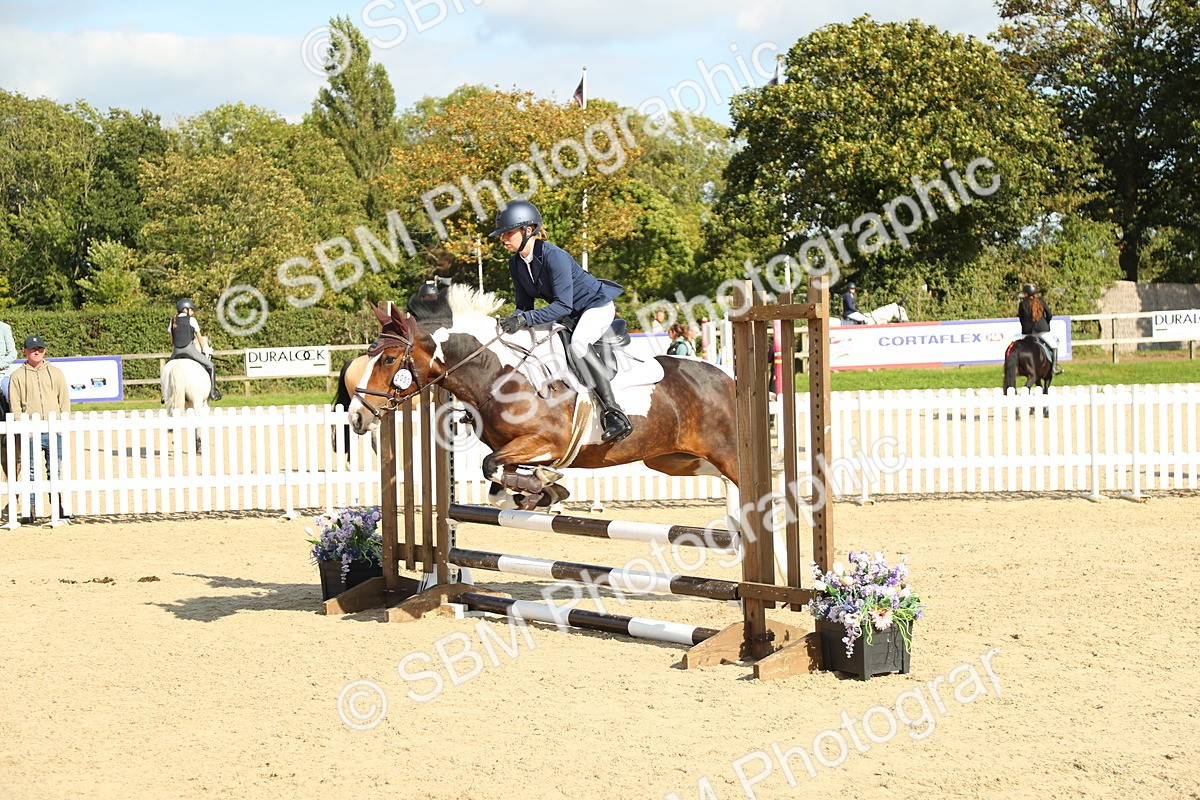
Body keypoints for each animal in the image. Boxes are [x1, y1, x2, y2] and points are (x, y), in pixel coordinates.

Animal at [346, 284, 740, 510]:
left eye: (389, 359)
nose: (357, 416)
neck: (497, 373)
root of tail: (726, 378)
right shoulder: (514, 449)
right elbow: (497, 482)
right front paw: (541, 492)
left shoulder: (547, 441)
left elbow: (491, 466)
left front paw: (542, 484)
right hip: (674, 460)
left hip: (726, 456)